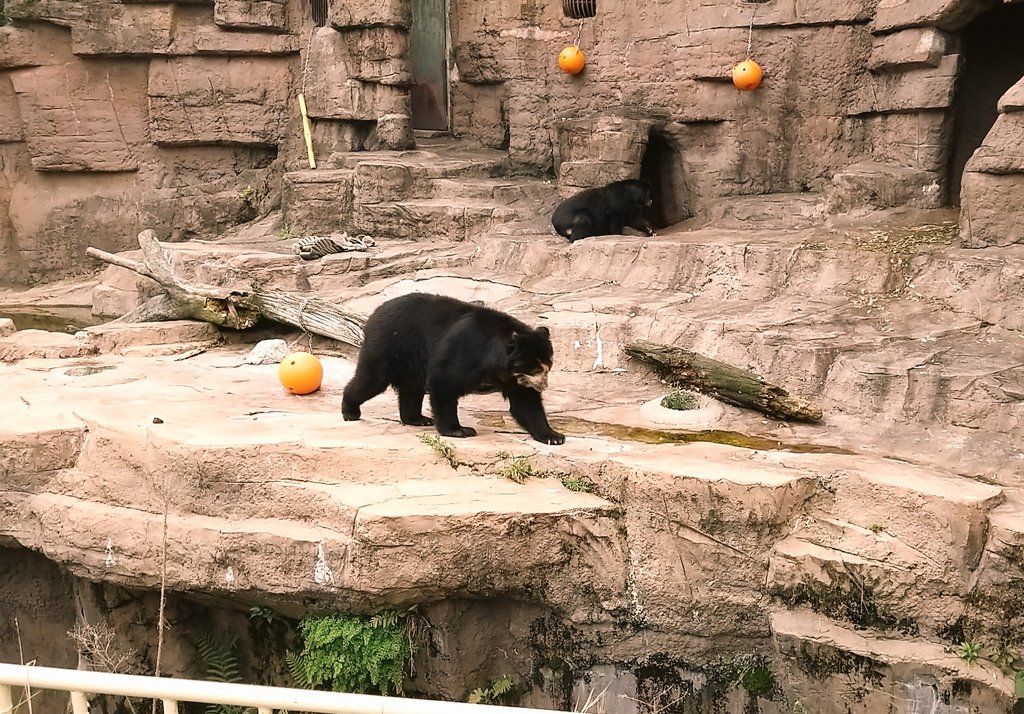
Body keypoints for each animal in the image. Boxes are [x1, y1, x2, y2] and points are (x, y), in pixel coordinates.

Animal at [344, 292, 569, 442]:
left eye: (547, 366)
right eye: (534, 369)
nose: (543, 386)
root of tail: (374, 313)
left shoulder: (513, 379)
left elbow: (527, 403)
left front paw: (553, 436)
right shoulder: (466, 351)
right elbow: (444, 382)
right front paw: (459, 430)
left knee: (411, 389)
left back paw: (417, 419)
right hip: (388, 347)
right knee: (371, 380)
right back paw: (350, 411)